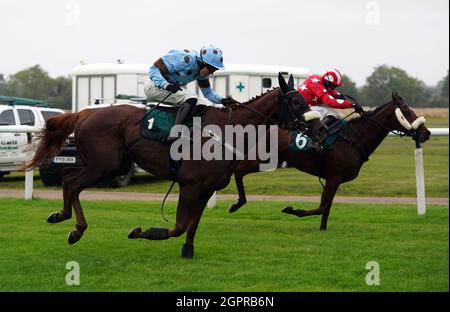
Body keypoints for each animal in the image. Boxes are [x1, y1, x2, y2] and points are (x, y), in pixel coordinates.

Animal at [24, 73, 326, 258]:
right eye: (296, 101)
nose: (321, 129)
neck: (227, 131)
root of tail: (85, 113)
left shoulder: (206, 189)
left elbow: (192, 225)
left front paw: (188, 250)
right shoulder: (189, 185)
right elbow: (179, 225)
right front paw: (142, 232)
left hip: (108, 164)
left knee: (69, 178)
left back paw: (66, 220)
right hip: (104, 166)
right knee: (71, 182)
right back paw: (72, 225)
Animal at [230, 91, 430, 230]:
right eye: (407, 111)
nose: (426, 133)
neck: (354, 138)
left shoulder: (335, 179)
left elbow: (326, 207)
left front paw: (322, 229)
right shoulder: (334, 177)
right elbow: (322, 206)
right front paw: (292, 210)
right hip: (262, 159)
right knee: (238, 171)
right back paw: (237, 203)